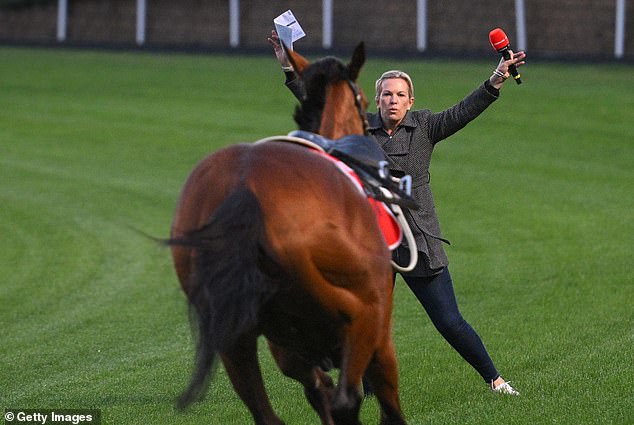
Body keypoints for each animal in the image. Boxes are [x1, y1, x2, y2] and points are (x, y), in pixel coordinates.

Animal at [168, 44, 404, 424]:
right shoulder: (378, 338)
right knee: (346, 395)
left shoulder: (288, 349)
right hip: (361, 316)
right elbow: (381, 405)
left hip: (235, 338)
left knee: (269, 413)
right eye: (365, 99)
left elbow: (319, 389)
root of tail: (244, 185)